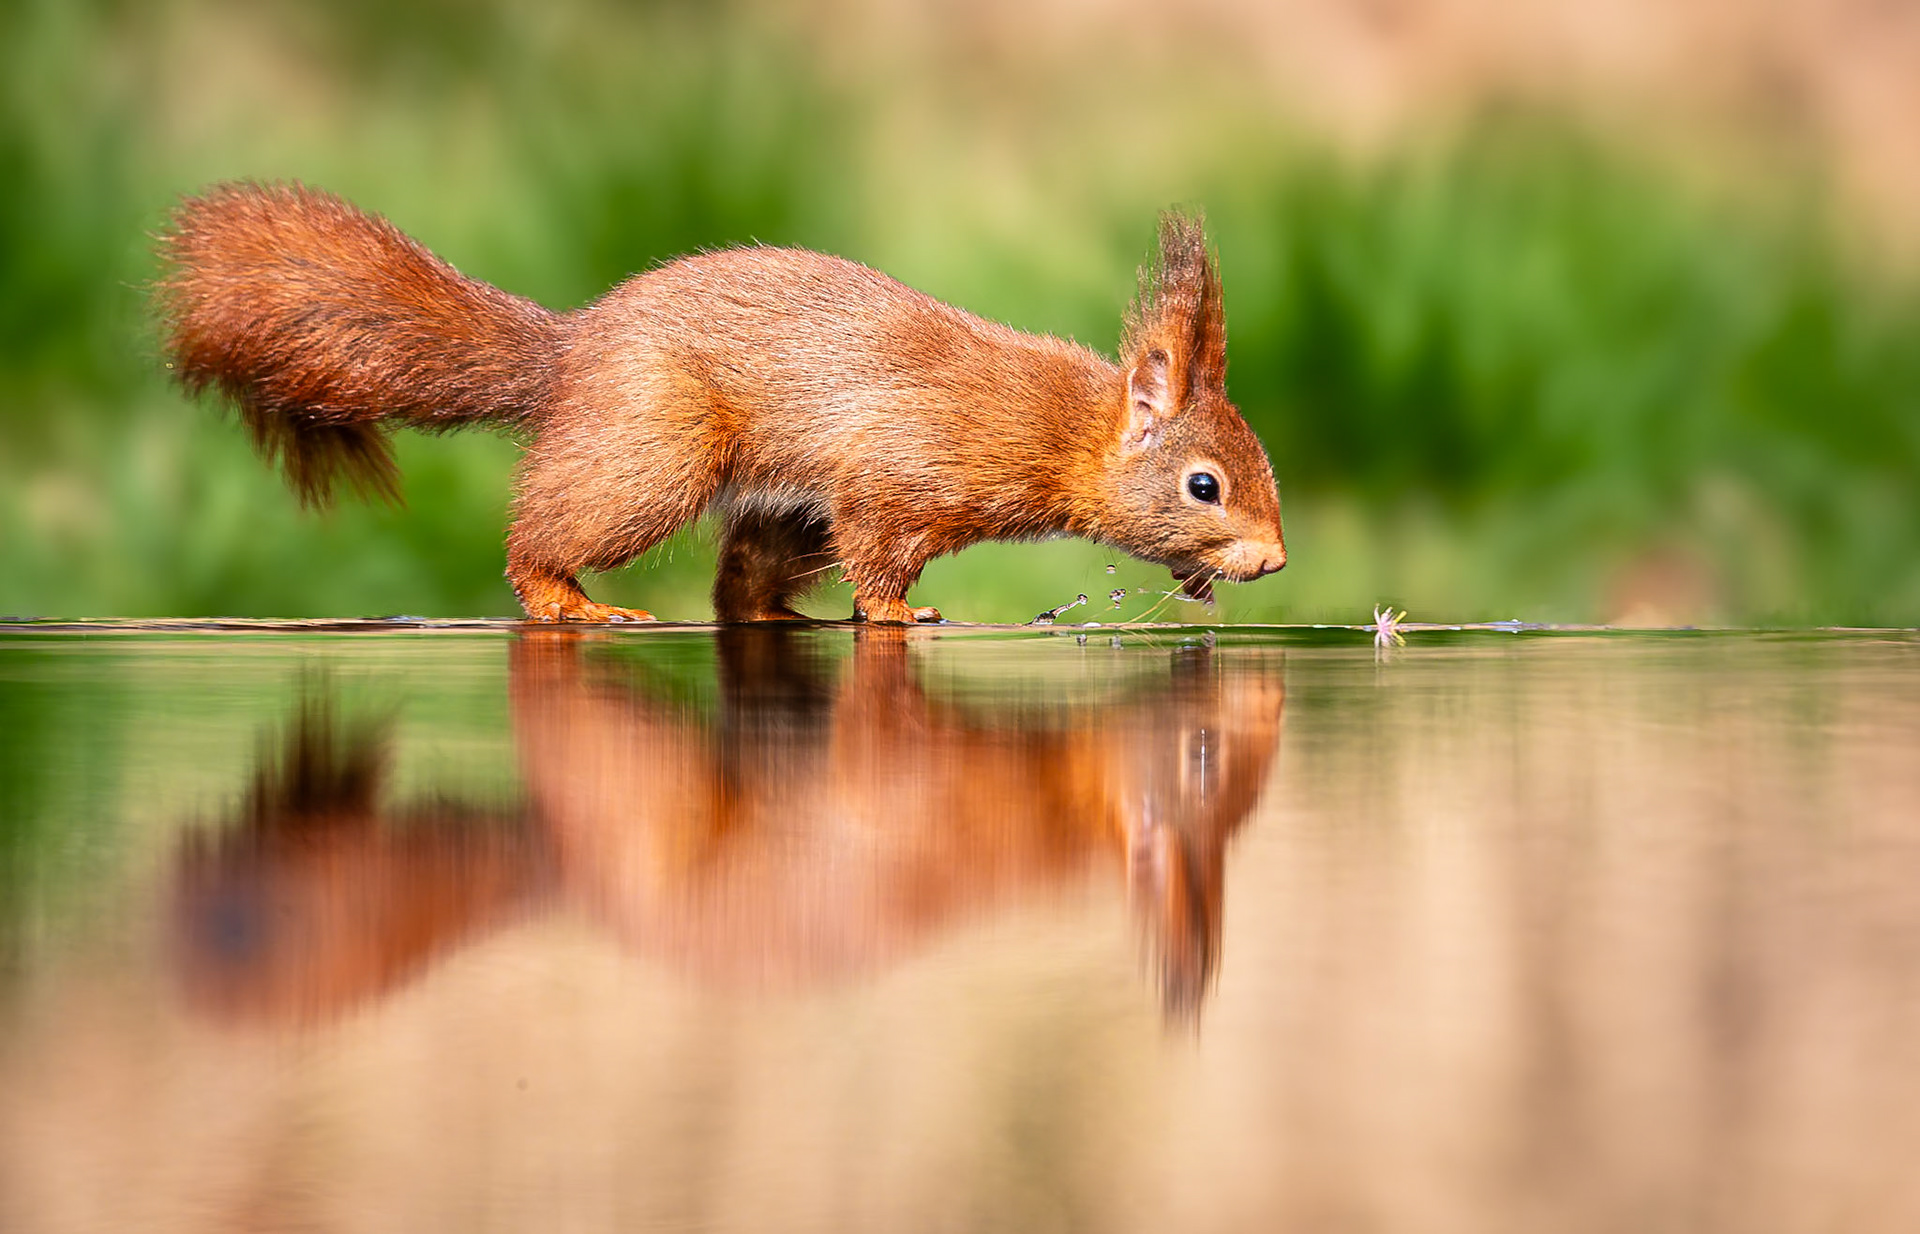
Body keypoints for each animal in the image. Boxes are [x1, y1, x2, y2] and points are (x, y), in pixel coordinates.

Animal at [156, 183, 1286, 623]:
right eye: (1204, 485)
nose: (1273, 562)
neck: (1060, 429)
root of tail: (571, 354)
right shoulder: (901, 470)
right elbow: (883, 554)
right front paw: (898, 614)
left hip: (774, 504)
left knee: (741, 585)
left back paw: (779, 615)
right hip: (654, 454)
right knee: (551, 535)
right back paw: (567, 598)